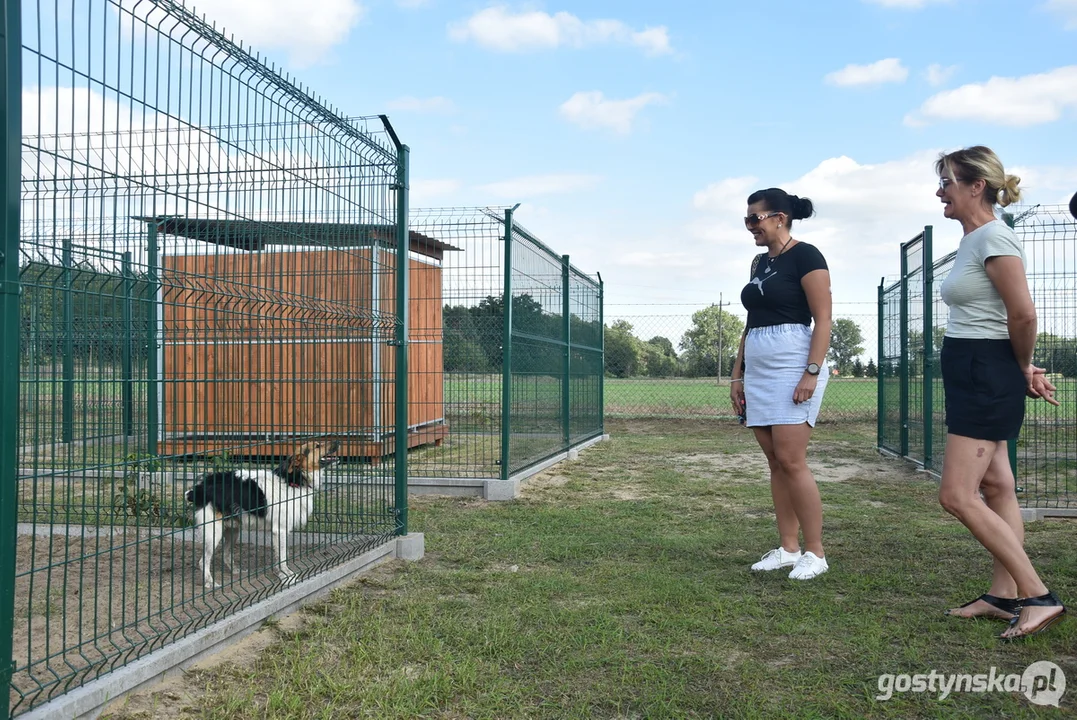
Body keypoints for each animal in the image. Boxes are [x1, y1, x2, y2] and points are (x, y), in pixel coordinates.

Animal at [186, 441, 340, 585]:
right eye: (317, 446)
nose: (337, 441)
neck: (292, 480)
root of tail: (200, 487)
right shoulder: (280, 530)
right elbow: (282, 557)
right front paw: (286, 576)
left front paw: (282, 574)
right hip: (214, 532)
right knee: (203, 561)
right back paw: (209, 583)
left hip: (232, 529)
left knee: (226, 554)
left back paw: (235, 572)